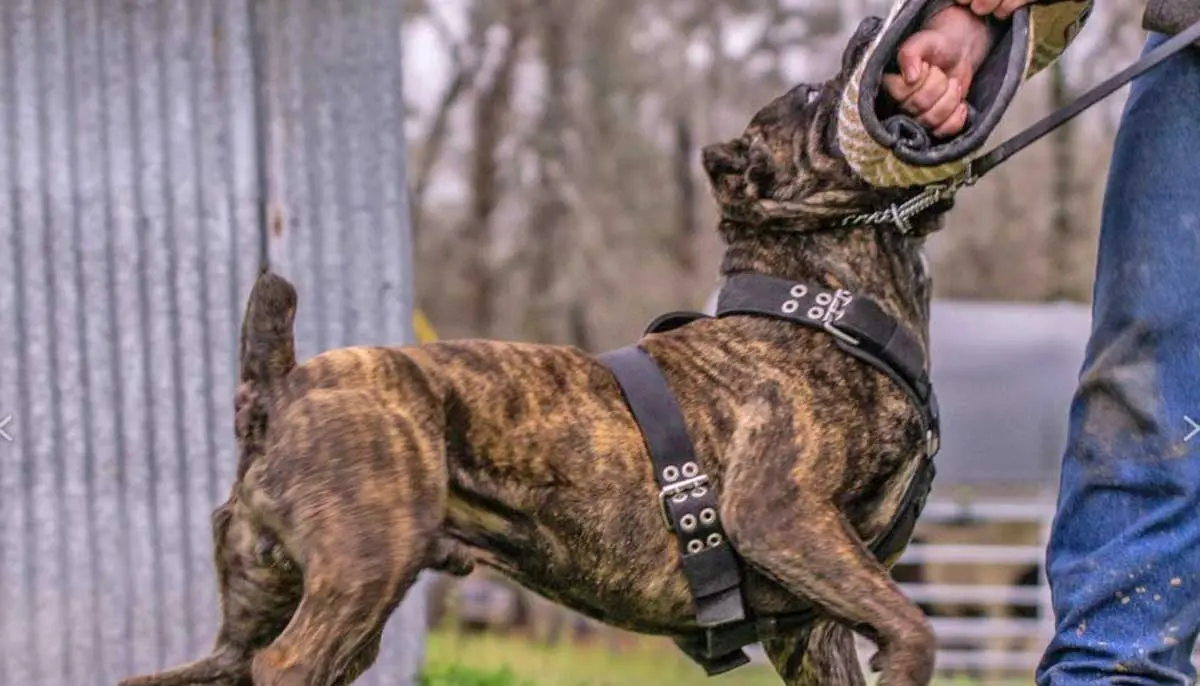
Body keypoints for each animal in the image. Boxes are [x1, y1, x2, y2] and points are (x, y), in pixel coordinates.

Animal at [119, 18, 945, 686]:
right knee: (284, 665)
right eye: (808, 95)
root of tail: (280, 386)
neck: (817, 300)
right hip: (360, 578)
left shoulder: (811, 626)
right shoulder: (781, 517)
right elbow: (915, 629)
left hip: (268, 608)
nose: (871, 28)